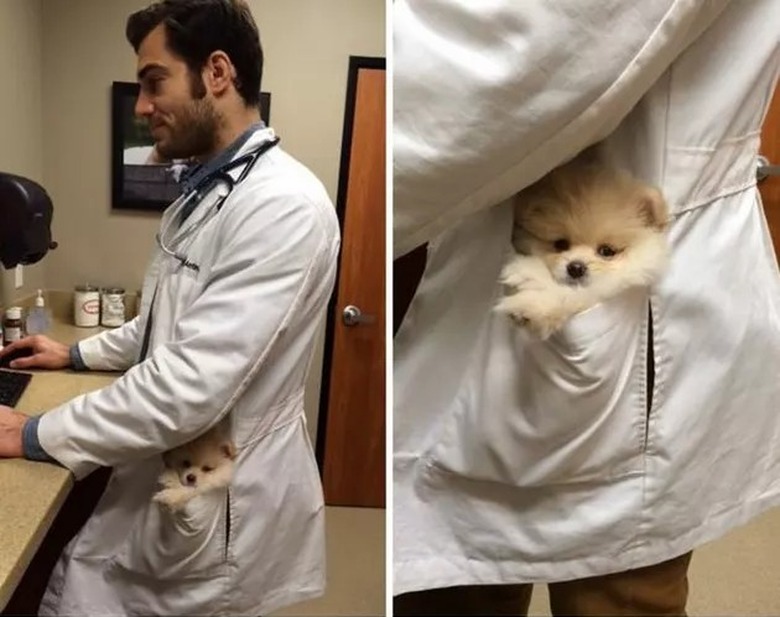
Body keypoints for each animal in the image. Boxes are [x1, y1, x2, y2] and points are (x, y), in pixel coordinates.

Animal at [494, 153, 672, 336]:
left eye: (606, 251)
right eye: (560, 244)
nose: (576, 267)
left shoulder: (597, 293)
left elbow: (570, 295)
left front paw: (531, 291)